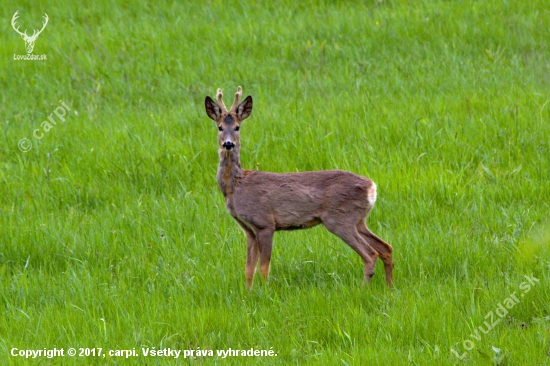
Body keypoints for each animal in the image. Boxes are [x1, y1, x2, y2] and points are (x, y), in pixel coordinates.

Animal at [205, 86, 394, 288]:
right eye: (220, 127)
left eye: (237, 127)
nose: (228, 144)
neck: (236, 187)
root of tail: (372, 187)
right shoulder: (248, 229)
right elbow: (248, 270)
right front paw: (248, 293)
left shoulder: (264, 222)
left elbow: (264, 268)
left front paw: (265, 292)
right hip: (359, 220)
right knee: (386, 247)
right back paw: (390, 287)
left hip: (340, 218)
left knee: (370, 254)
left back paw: (363, 288)